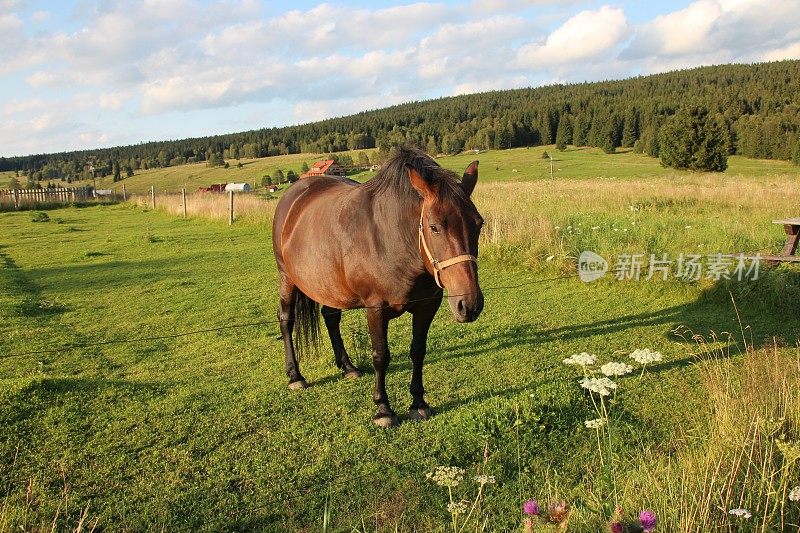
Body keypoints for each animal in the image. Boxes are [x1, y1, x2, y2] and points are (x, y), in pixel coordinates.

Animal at [272, 145, 484, 428]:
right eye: (434, 227)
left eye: (479, 223)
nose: (469, 304)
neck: (392, 239)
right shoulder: (375, 309)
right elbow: (380, 355)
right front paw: (383, 409)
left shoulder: (427, 306)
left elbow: (418, 351)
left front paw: (418, 403)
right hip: (287, 278)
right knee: (286, 320)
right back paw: (295, 376)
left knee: (330, 317)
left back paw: (348, 367)